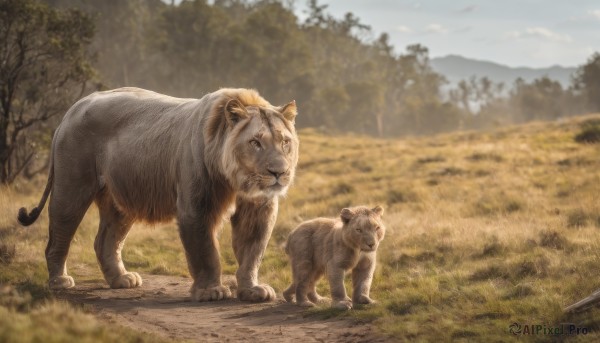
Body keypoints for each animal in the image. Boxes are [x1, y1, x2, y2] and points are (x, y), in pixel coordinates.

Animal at [17, 87, 298, 302]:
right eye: (255, 142)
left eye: (285, 142)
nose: (279, 172)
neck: (236, 181)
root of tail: (72, 109)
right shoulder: (195, 207)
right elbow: (205, 251)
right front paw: (210, 291)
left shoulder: (257, 208)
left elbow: (252, 250)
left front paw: (253, 290)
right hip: (72, 185)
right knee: (59, 234)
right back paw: (59, 281)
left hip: (122, 199)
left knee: (105, 240)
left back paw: (122, 279)